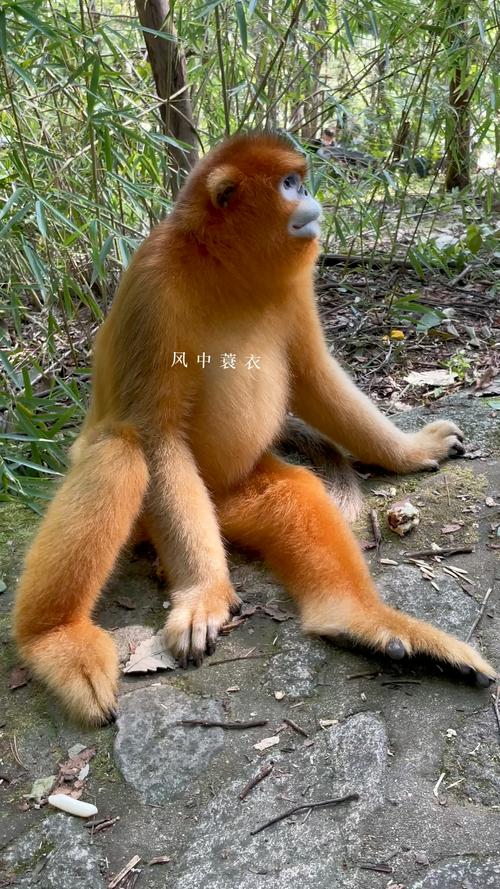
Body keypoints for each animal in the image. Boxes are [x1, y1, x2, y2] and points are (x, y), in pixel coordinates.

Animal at [14, 132, 495, 726]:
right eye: (290, 184)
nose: (310, 195)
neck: (223, 267)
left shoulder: (293, 289)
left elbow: (314, 378)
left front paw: (409, 450)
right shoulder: (153, 286)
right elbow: (157, 436)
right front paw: (203, 594)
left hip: (230, 500)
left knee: (295, 494)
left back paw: (363, 622)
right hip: (168, 515)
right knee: (120, 450)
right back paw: (54, 638)